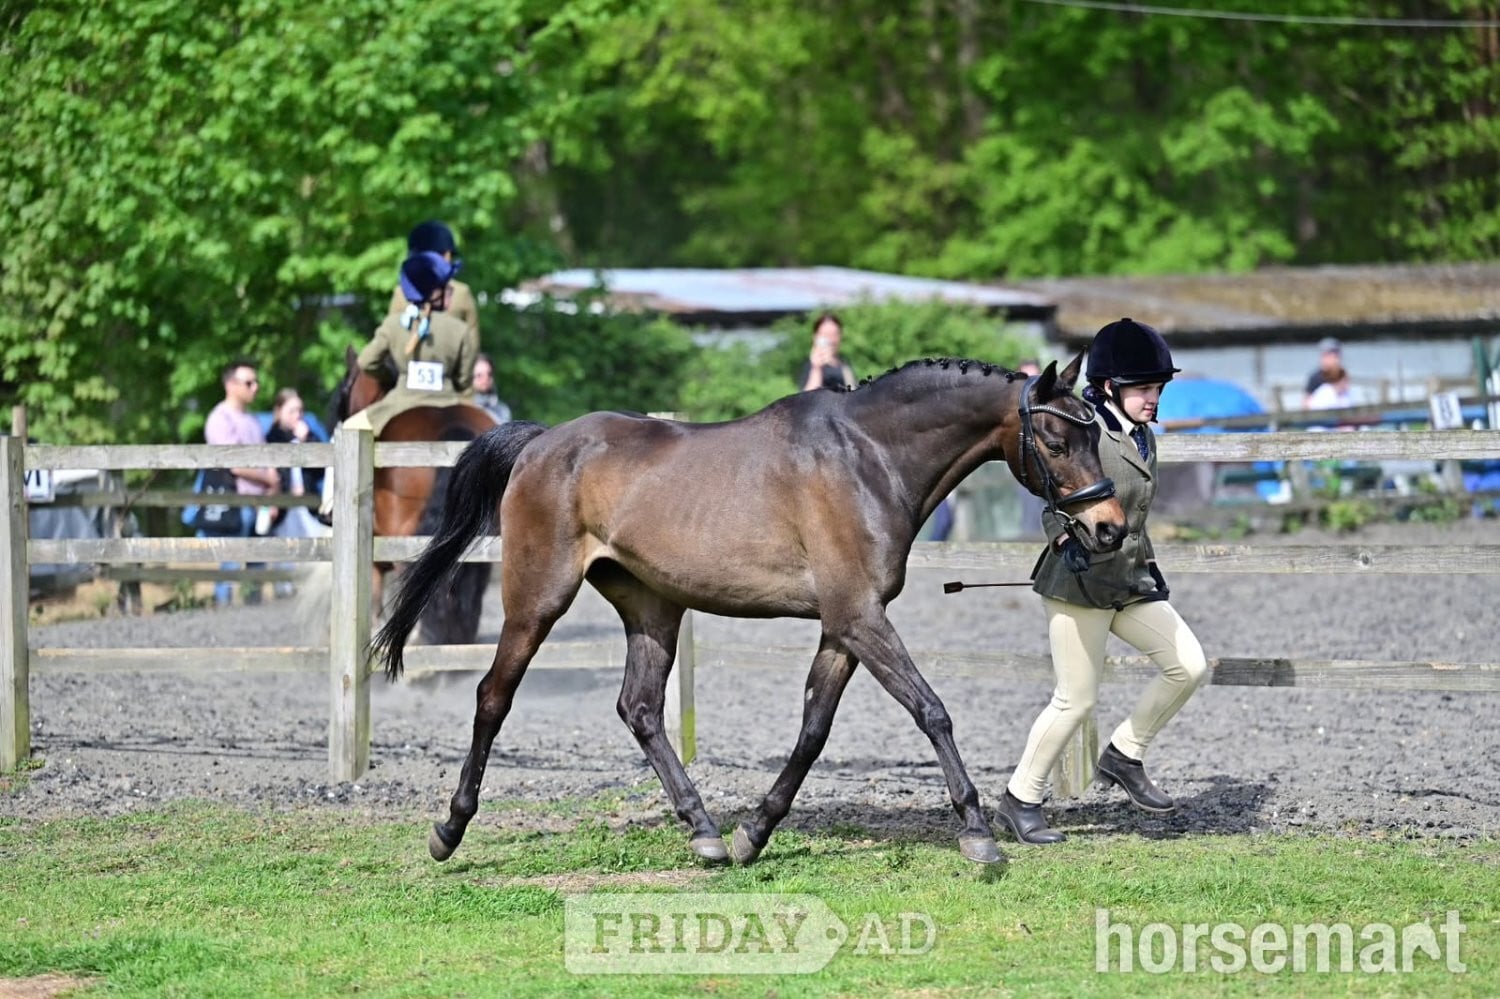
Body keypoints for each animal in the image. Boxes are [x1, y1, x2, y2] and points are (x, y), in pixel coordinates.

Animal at [369, 353, 1125, 867]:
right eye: (1057, 441)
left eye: (1097, 436)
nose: (1109, 529)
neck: (869, 457)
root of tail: (540, 442)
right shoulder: (860, 618)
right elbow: (931, 709)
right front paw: (976, 833)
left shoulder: (843, 628)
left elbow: (813, 730)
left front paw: (751, 834)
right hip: (536, 602)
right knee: (493, 696)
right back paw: (449, 830)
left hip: (653, 607)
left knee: (640, 708)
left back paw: (703, 830)